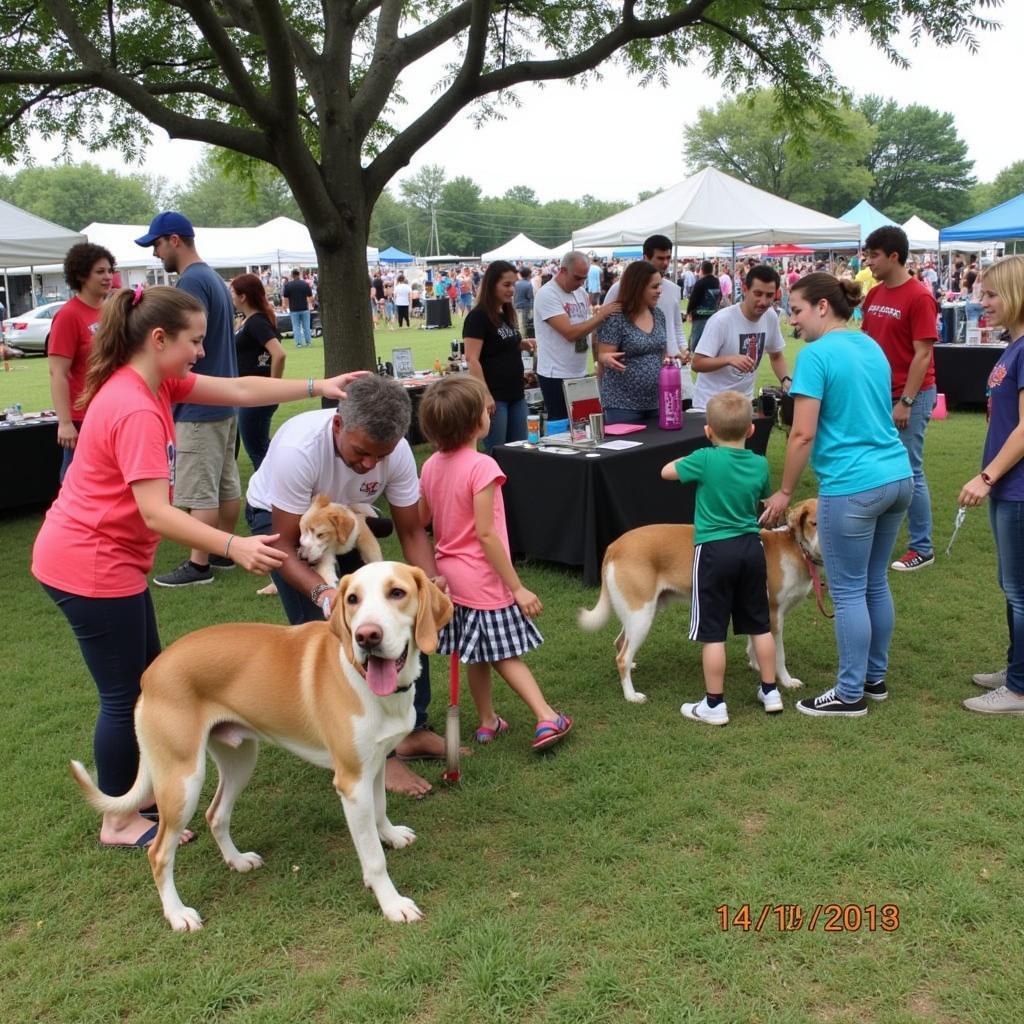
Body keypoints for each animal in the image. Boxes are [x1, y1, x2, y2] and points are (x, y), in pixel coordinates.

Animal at [71, 565, 452, 933]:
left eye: (397, 592)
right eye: (353, 599)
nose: (366, 636)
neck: (367, 681)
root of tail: (150, 674)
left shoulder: (374, 765)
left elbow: (380, 809)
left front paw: (390, 835)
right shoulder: (351, 783)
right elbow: (373, 857)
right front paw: (392, 903)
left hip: (239, 760)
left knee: (216, 814)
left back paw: (237, 861)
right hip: (182, 781)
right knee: (159, 852)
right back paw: (177, 914)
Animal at [577, 497, 823, 704]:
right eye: (814, 523)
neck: (794, 548)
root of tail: (614, 546)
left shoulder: (756, 610)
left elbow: (753, 643)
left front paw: (756, 665)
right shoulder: (774, 616)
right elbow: (779, 654)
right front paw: (786, 680)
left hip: (639, 612)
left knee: (620, 643)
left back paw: (632, 666)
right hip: (641, 616)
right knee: (622, 657)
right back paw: (631, 695)